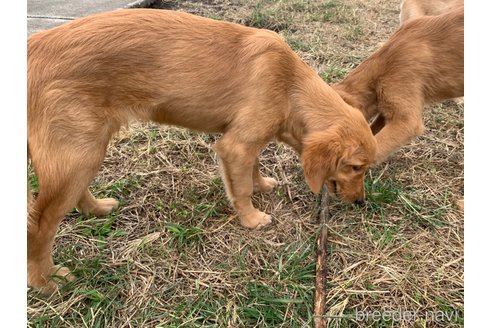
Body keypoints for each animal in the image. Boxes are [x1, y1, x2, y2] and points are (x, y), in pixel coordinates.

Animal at [27, 9, 376, 292]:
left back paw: (96, 208)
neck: (289, 84)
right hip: (77, 153)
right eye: (356, 167)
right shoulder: (235, 145)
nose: (360, 202)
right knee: (39, 226)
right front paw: (251, 218)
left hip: (85, 150)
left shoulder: (246, 140)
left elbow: (254, 167)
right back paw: (46, 281)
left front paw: (263, 185)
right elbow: (242, 188)